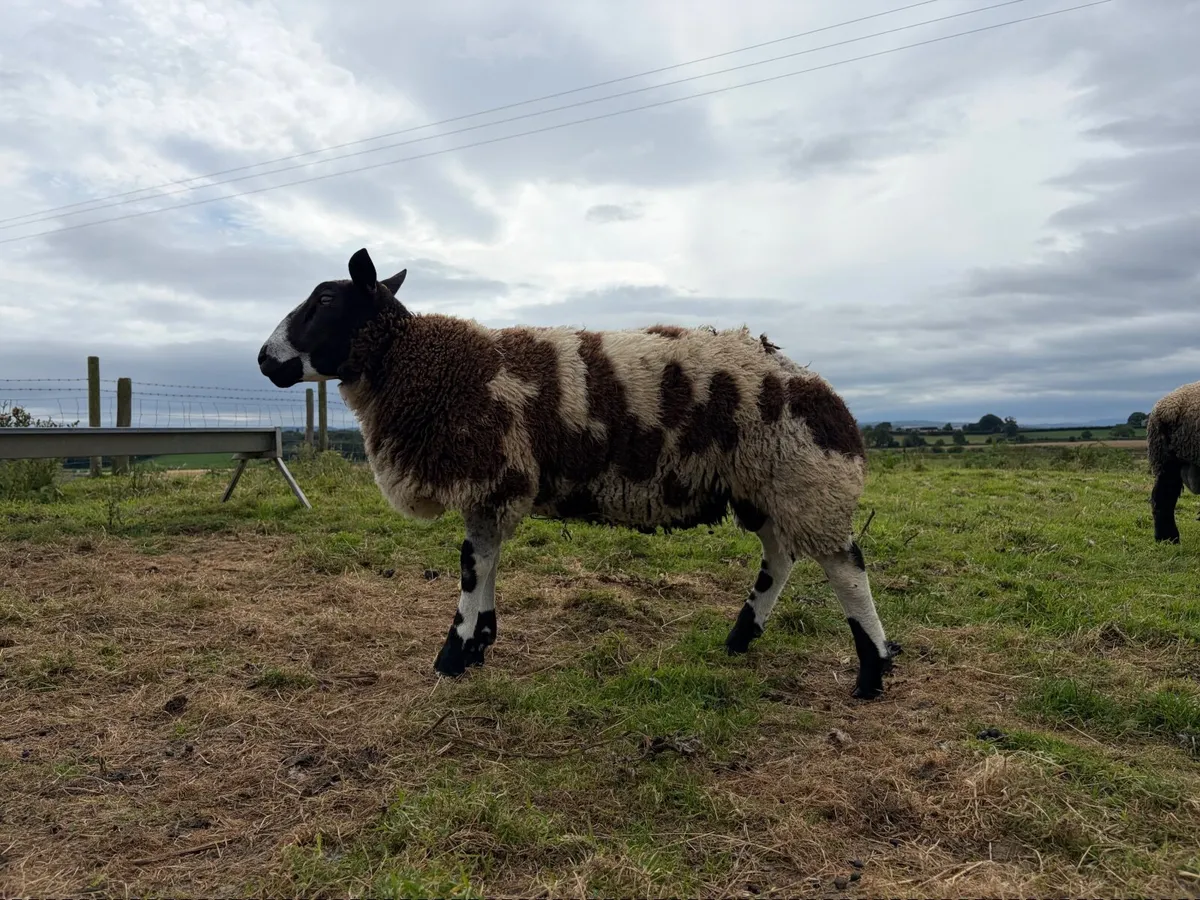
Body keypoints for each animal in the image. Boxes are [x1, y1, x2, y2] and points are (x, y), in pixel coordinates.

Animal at [258, 248, 901, 699]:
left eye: (326, 300)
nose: (264, 359)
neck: (424, 366)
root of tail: (826, 394)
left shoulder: (491, 474)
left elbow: (470, 565)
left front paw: (454, 655)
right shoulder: (495, 486)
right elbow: (486, 560)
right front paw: (480, 641)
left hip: (802, 477)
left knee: (845, 566)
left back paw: (872, 670)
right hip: (759, 484)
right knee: (781, 556)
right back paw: (741, 638)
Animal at [1147, 380, 1200, 544]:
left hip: (1168, 458)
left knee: (1162, 497)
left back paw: (1166, 539)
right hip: (1167, 459)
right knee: (1163, 498)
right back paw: (1169, 537)